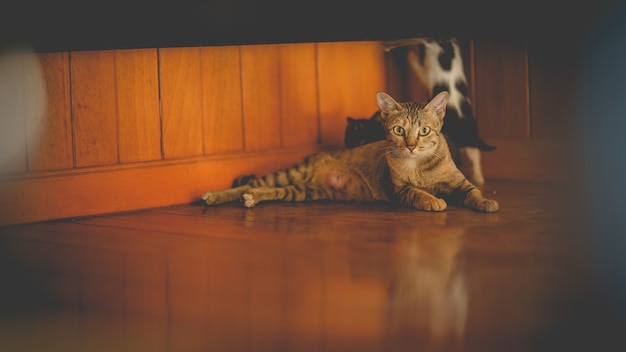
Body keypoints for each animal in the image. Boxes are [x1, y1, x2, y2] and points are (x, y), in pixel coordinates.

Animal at [201, 91, 498, 212]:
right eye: (398, 130)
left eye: (424, 130)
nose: (411, 146)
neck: (420, 166)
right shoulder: (400, 190)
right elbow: (418, 194)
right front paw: (433, 201)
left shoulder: (460, 182)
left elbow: (474, 192)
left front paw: (486, 203)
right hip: (293, 173)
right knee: (249, 184)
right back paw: (214, 196)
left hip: (304, 191)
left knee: (266, 190)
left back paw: (252, 198)